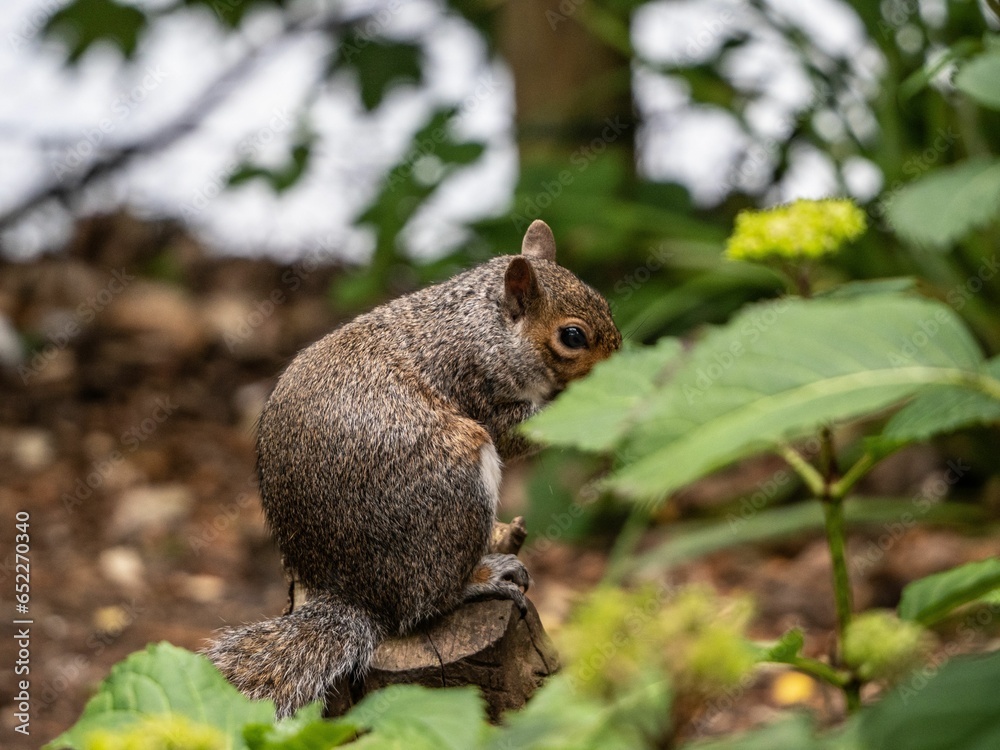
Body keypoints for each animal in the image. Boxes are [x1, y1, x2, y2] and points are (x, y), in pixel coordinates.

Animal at [207, 220, 620, 720]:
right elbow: (523, 430)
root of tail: (358, 596)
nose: (621, 365)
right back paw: (484, 578)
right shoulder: (478, 384)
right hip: (455, 488)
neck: (487, 325)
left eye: (605, 304)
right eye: (573, 336)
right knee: (427, 602)